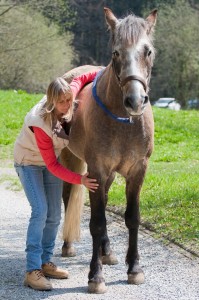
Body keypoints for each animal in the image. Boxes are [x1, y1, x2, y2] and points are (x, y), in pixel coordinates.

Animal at [60, 6, 157, 292]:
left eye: (148, 51)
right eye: (116, 52)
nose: (135, 101)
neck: (123, 120)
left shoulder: (137, 172)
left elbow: (132, 218)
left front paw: (134, 268)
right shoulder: (97, 172)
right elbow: (97, 222)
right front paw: (95, 276)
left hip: (110, 175)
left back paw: (107, 251)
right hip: (72, 161)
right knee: (68, 198)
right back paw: (69, 246)